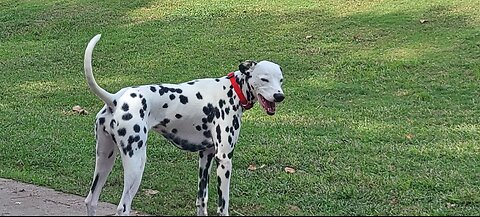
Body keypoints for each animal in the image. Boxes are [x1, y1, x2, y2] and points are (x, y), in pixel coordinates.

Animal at [83, 34, 284, 216]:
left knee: (91, 200)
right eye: (264, 79)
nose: (279, 96)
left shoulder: (206, 156)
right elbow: (223, 206)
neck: (231, 90)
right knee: (123, 207)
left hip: (105, 159)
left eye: (281, 80)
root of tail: (116, 99)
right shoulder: (224, 159)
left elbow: (201, 200)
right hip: (136, 164)